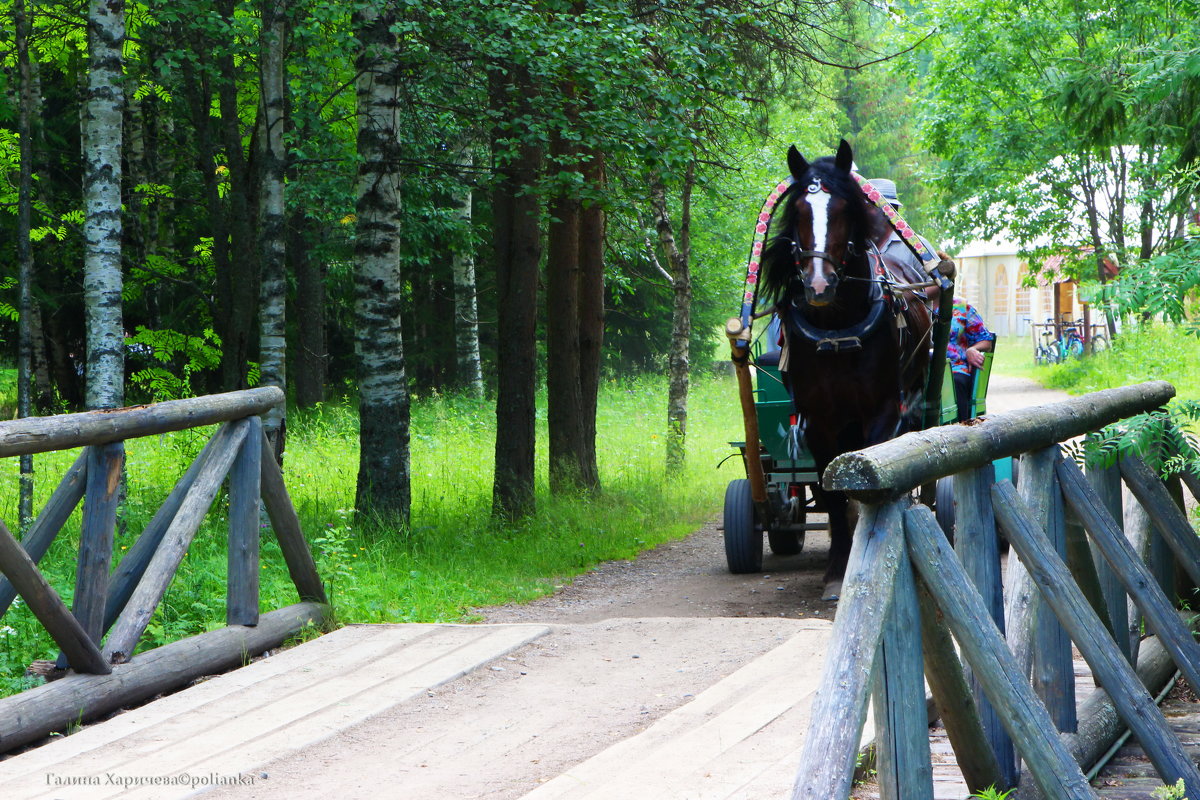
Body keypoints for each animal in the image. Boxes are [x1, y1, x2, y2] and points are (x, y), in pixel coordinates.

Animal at [763, 140, 931, 597]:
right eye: (799, 211)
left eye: (841, 210)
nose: (818, 285)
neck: (836, 327)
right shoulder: (819, 420)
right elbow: (834, 491)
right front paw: (837, 570)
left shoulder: (883, 411)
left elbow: (868, 471)